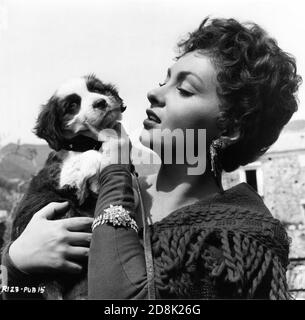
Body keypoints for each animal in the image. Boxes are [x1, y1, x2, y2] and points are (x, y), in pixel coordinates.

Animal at [10, 75, 132, 300]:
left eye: (97, 89)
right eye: (72, 105)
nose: (101, 102)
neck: (88, 141)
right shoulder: (61, 177)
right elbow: (88, 158)